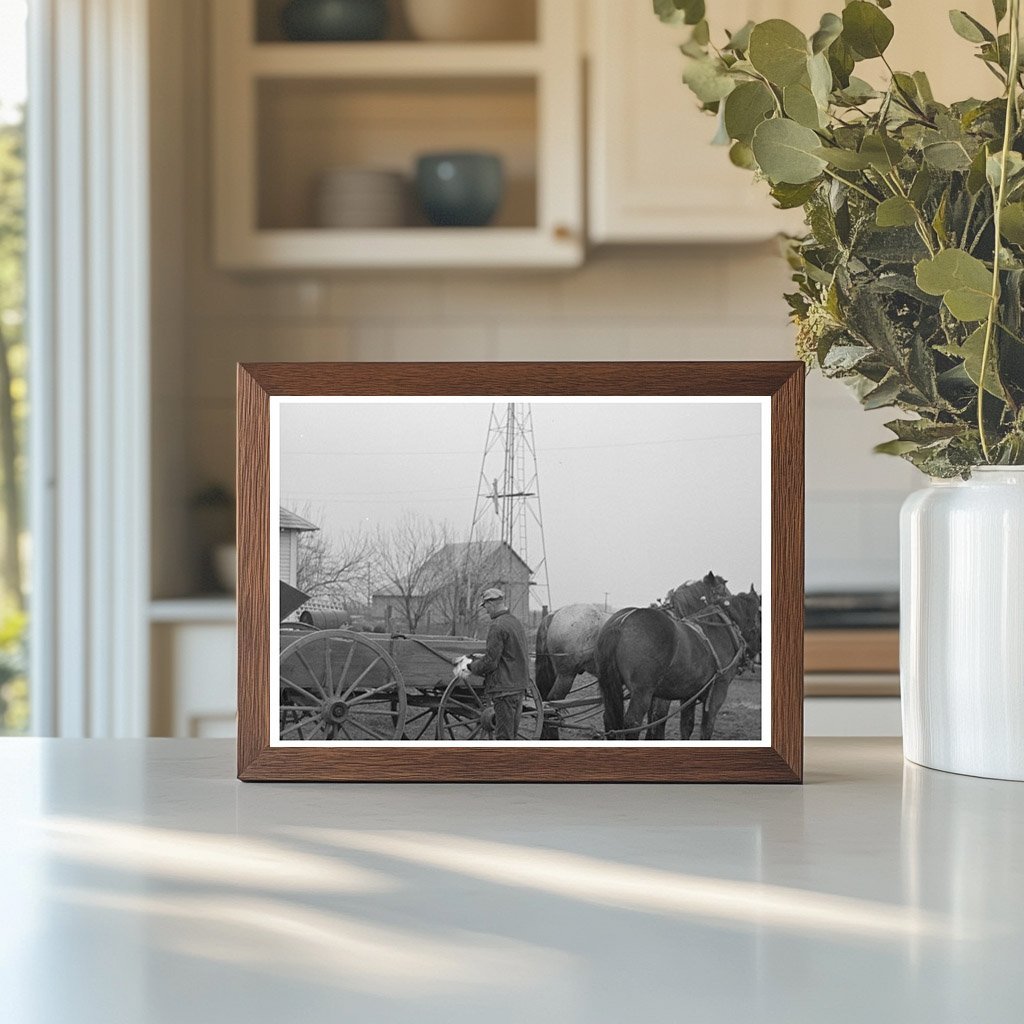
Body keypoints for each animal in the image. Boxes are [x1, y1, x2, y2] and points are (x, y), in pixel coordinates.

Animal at [593, 585, 761, 745]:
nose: (755, 653)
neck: (720, 628)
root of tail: (621, 622)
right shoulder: (718, 690)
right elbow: (706, 729)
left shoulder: (689, 694)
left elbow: (687, 725)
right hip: (642, 692)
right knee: (632, 724)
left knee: (609, 720)